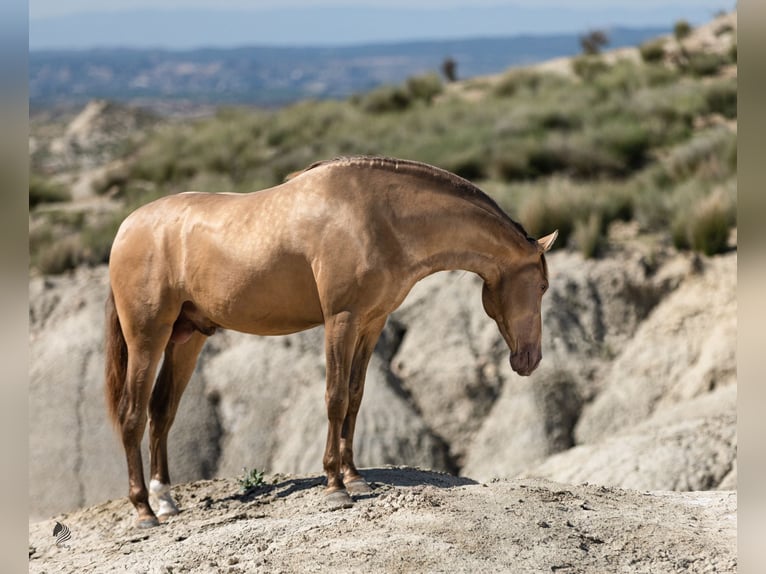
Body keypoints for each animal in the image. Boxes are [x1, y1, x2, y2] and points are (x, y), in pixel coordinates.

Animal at [105, 155, 556, 528]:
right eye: (543, 285)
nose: (530, 359)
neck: (378, 217)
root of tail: (127, 228)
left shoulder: (371, 324)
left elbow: (355, 398)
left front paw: (354, 478)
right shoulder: (341, 321)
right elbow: (335, 397)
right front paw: (335, 487)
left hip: (186, 339)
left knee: (162, 412)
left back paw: (166, 501)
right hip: (147, 336)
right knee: (132, 414)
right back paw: (144, 511)